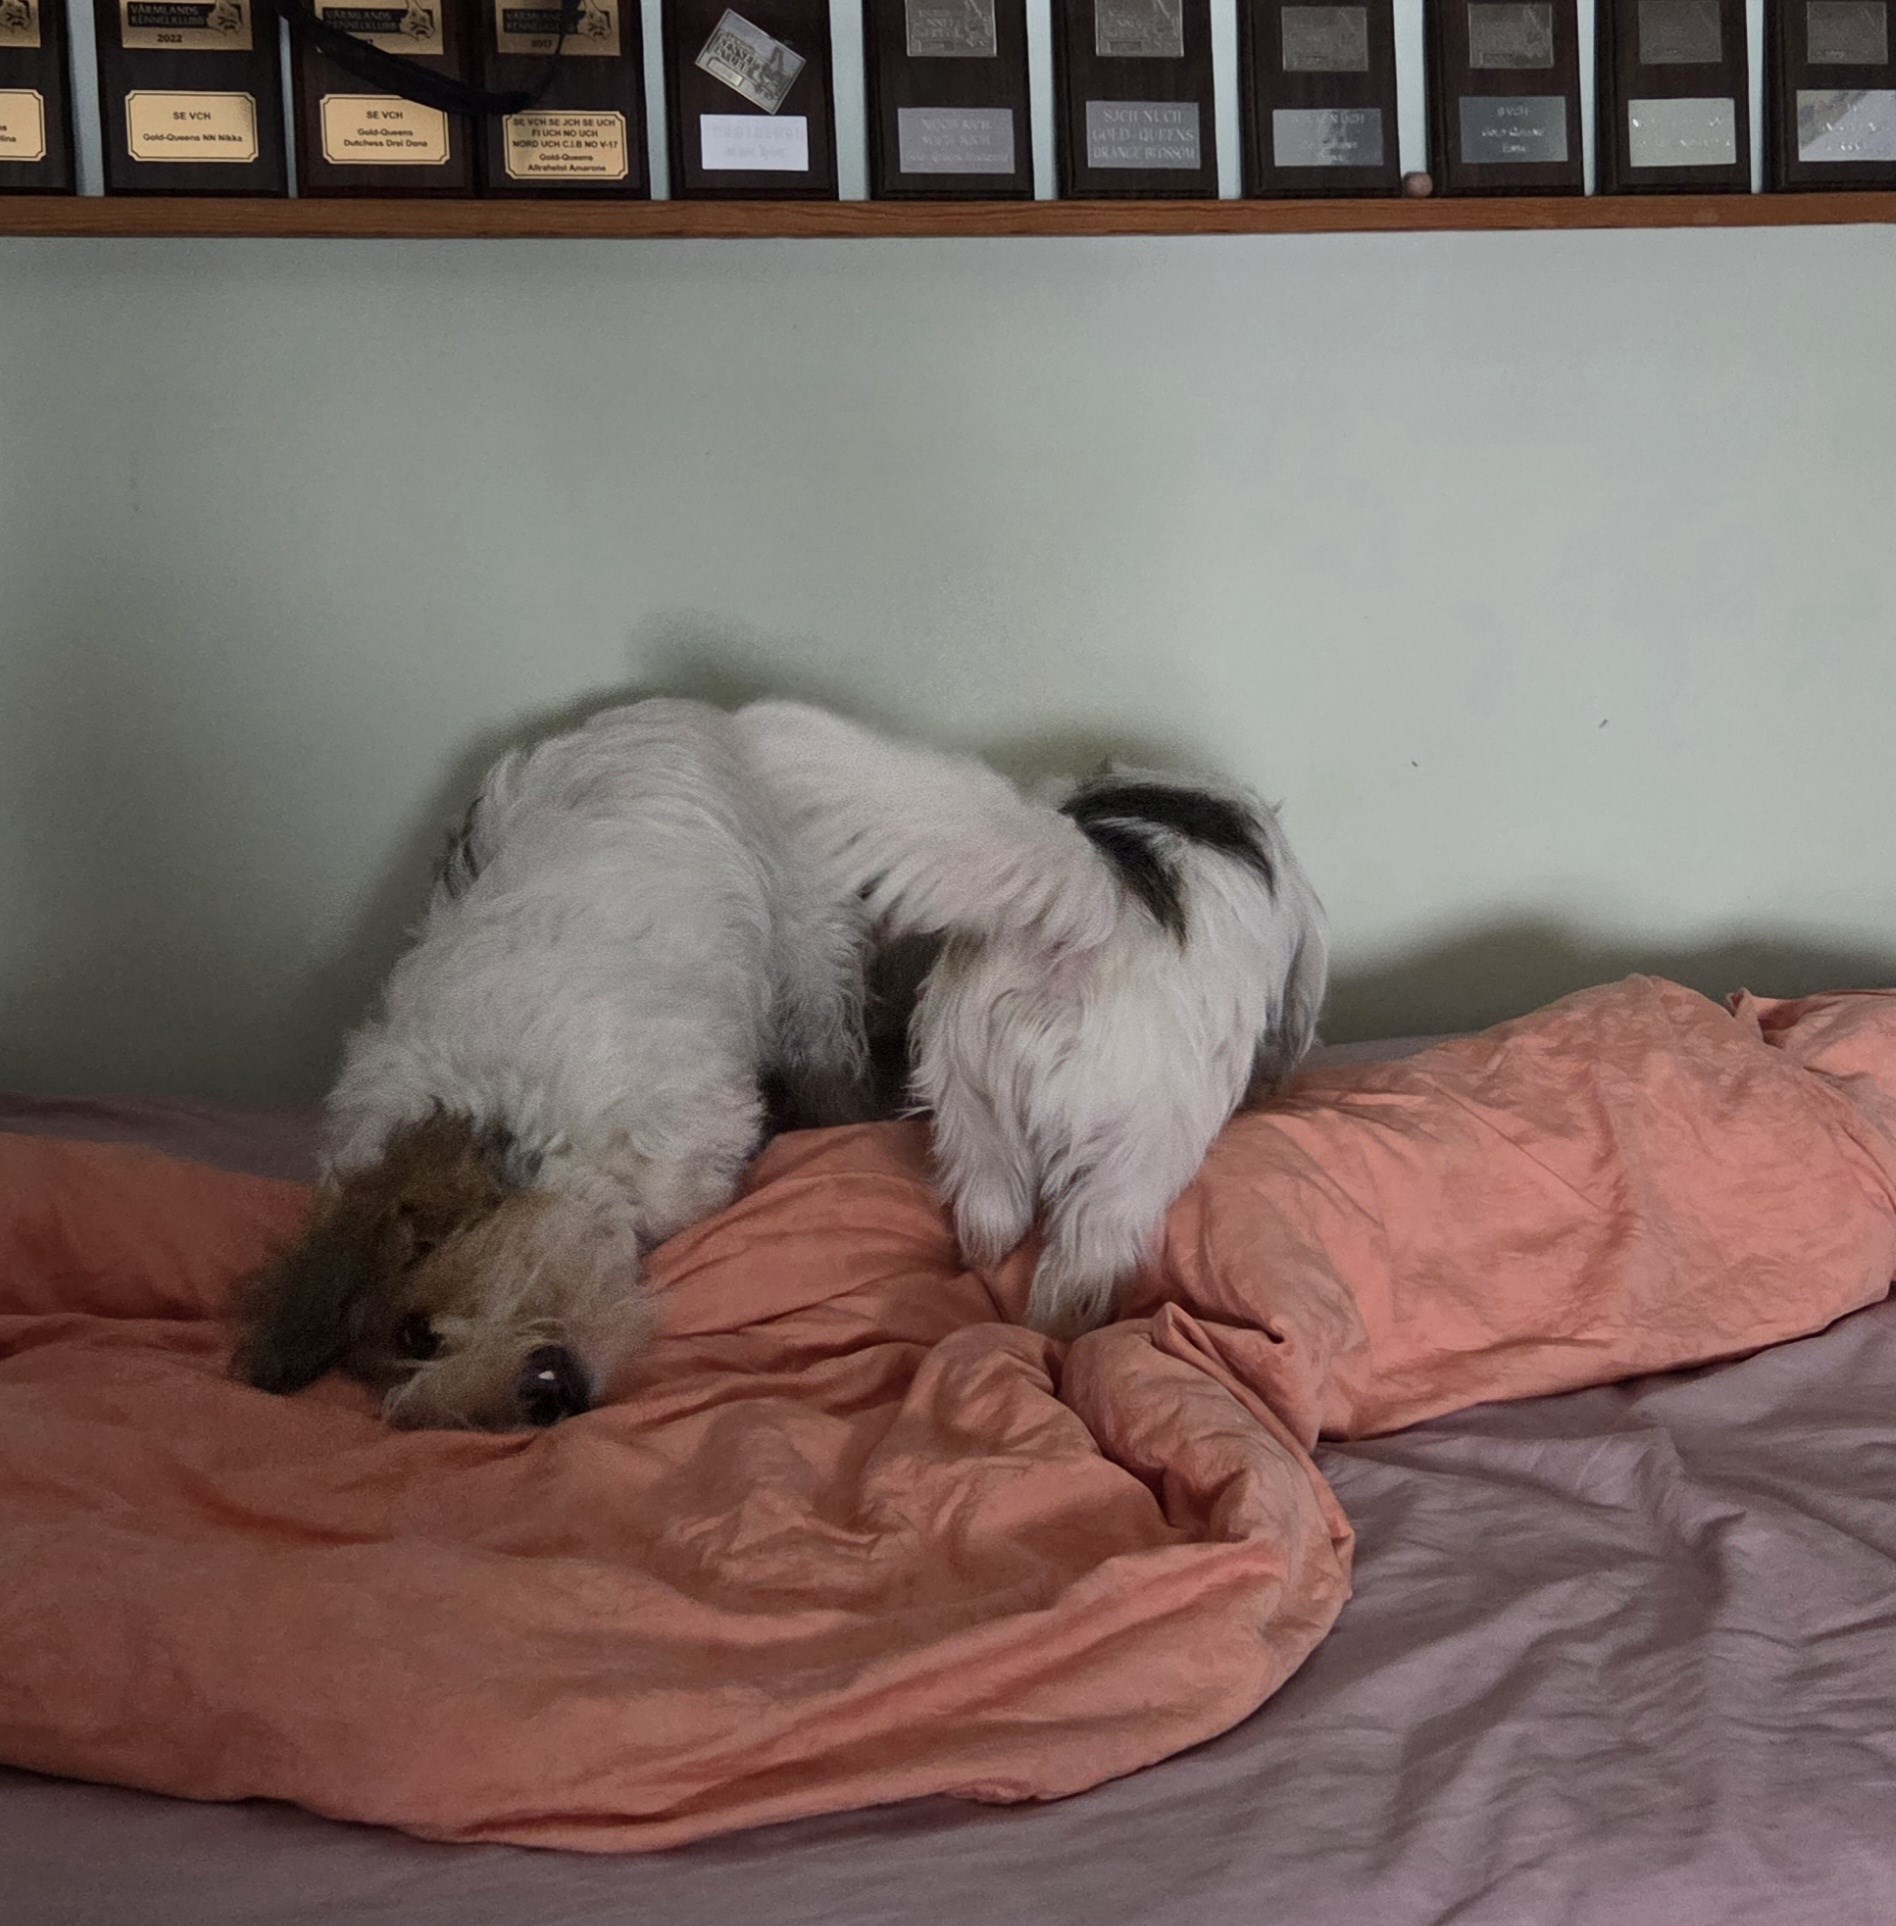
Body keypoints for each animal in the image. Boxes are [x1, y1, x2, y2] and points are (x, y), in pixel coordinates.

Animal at [236, 698, 870, 1429]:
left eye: (416, 1333)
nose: (543, 1400)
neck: (510, 1123)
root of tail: (673, 708)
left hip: (809, 946)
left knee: (831, 1049)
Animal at [737, 701, 1328, 1336]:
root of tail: (1099, 910)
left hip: (969, 1097)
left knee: (989, 1206)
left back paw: (983, 1267)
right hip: (1141, 1148)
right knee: (1086, 1253)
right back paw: (1061, 1327)